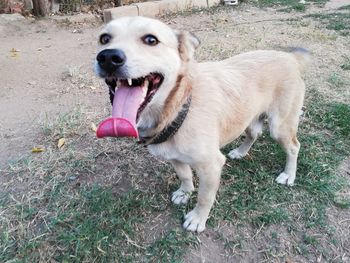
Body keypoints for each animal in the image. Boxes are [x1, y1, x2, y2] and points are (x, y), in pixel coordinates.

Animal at [93, 16, 308, 233]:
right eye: (104, 38)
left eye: (151, 40)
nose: (108, 57)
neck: (179, 106)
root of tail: (290, 57)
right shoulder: (174, 157)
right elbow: (185, 175)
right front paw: (185, 192)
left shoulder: (211, 166)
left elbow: (205, 197)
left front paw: (197, 219)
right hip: (246, 117)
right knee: (254, 134)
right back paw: (241, 152)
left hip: (279, 127)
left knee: (294, 147)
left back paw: (288, 175)